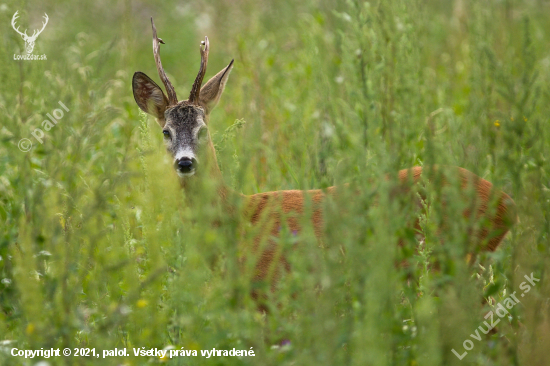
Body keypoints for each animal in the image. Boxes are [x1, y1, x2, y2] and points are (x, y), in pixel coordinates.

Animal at [133, 18, 516, 308]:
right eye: (166, 131)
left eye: (203, 129)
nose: (185, 163)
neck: (238, 219)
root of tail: (508, 203)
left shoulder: (277, 291)